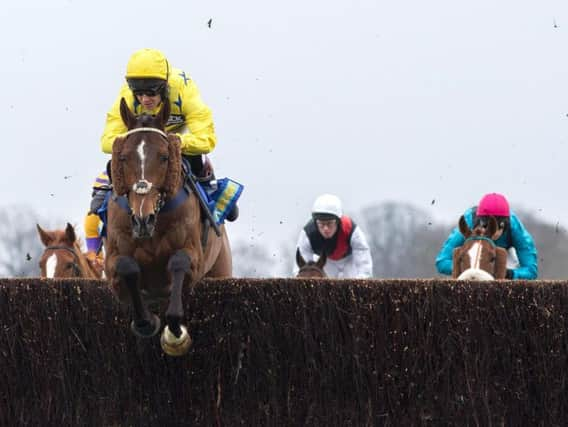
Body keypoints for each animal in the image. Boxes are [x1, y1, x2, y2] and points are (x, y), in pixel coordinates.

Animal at [105, 98, 232, 356]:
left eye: (164, 157)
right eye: (123, 158)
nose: (143, 218)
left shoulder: (193, 256)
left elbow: (179, 263)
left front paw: (175, 335)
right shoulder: (113, 260)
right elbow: (126, 267)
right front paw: (146, 322)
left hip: (221, 270)